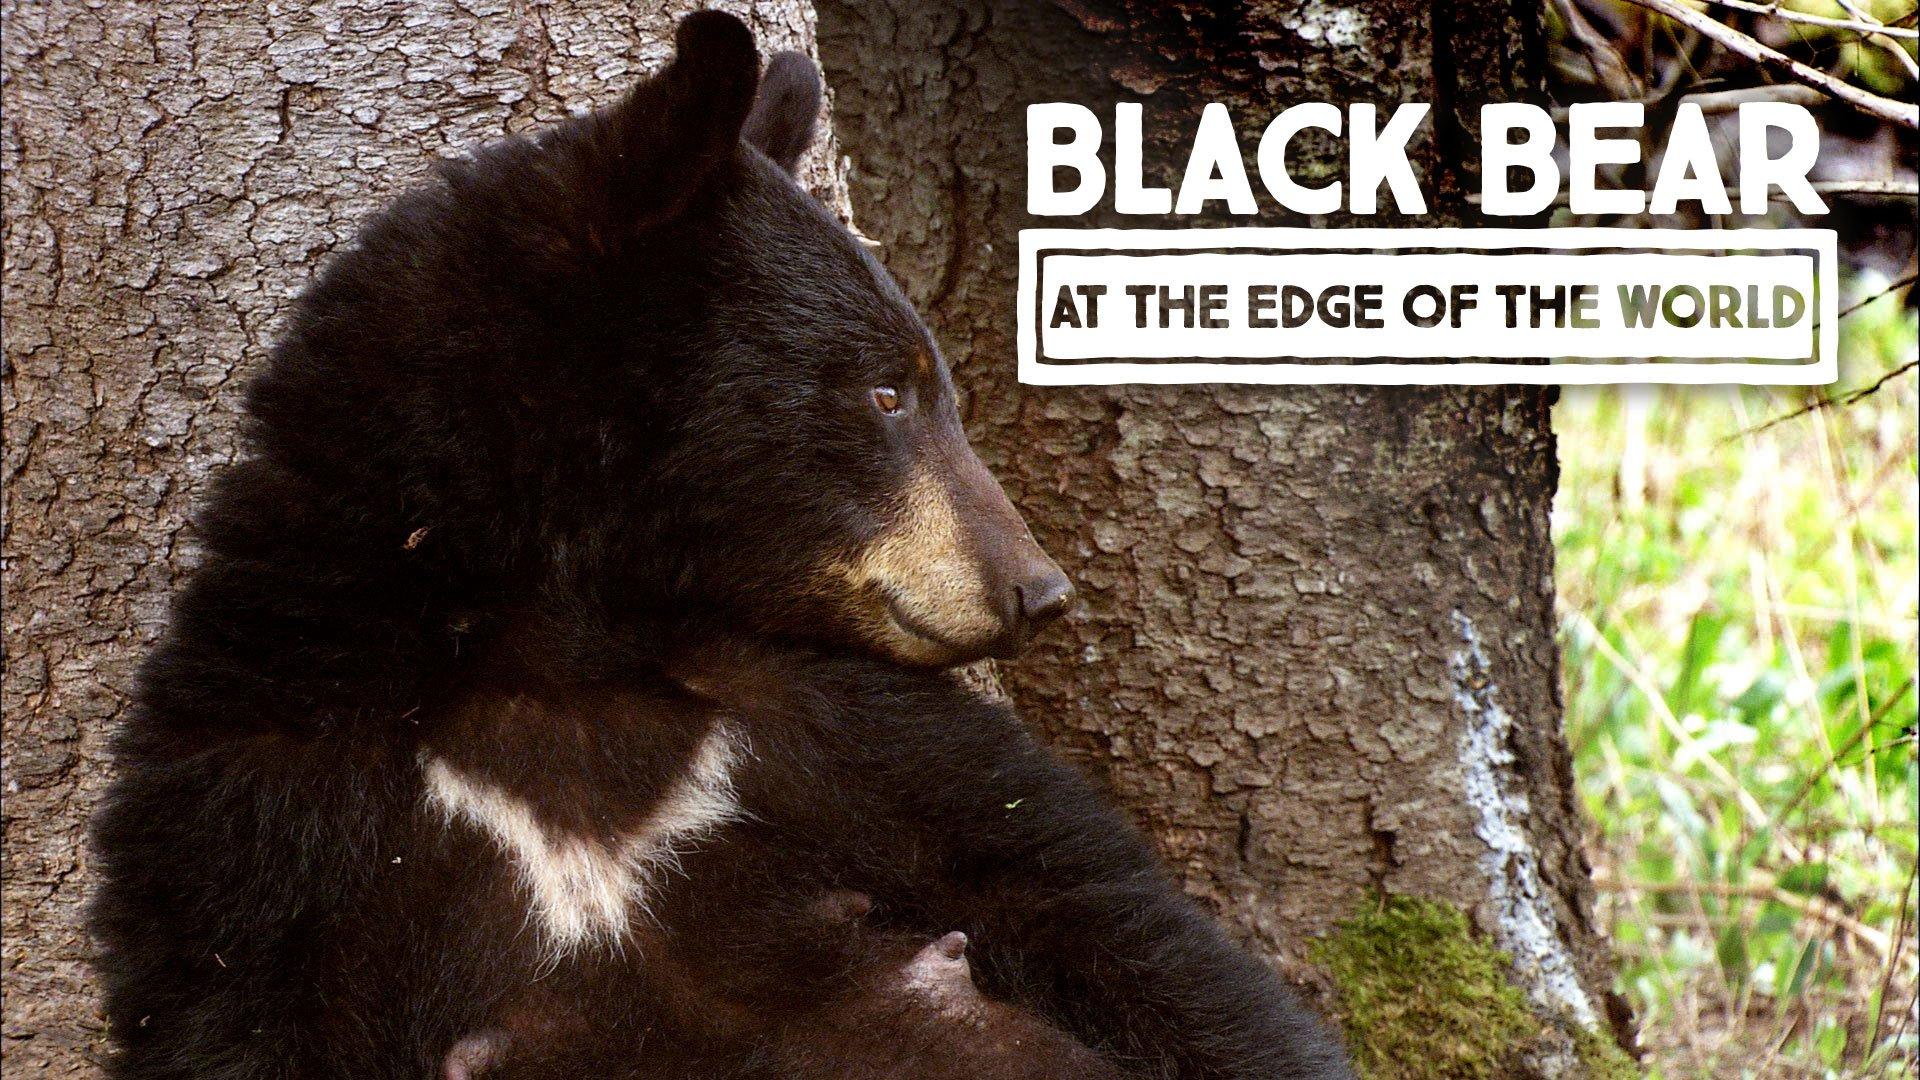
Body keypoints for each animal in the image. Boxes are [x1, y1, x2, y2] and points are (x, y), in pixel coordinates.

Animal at [88, 12, 1355, 1080]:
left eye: (923, 380)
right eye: (887, 391)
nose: (1037, 589)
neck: (562, 645)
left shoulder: (831, 719)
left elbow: (1102, 913)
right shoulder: (264, 813)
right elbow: (229, 1018)